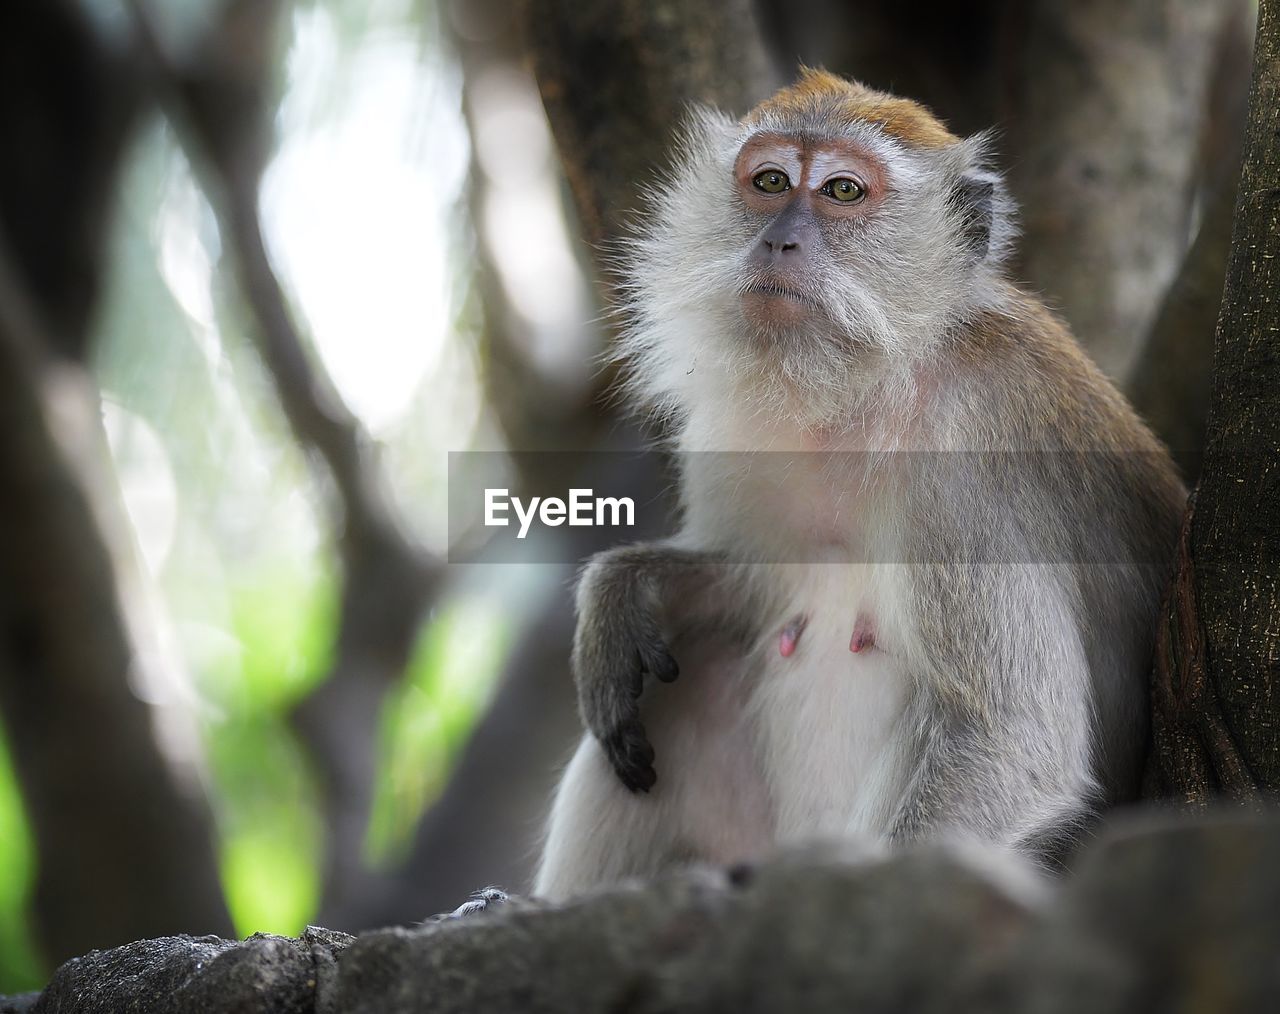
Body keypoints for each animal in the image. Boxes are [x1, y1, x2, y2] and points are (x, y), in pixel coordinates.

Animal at [527, 67, 1177, 901]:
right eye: (770, 182)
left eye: (842, 191)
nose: (780, 238)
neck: (861, 391)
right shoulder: (736, 426)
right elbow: (742, 576)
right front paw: (620, 591)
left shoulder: (965, 454)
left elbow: (1013, 739)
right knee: (695, 668)